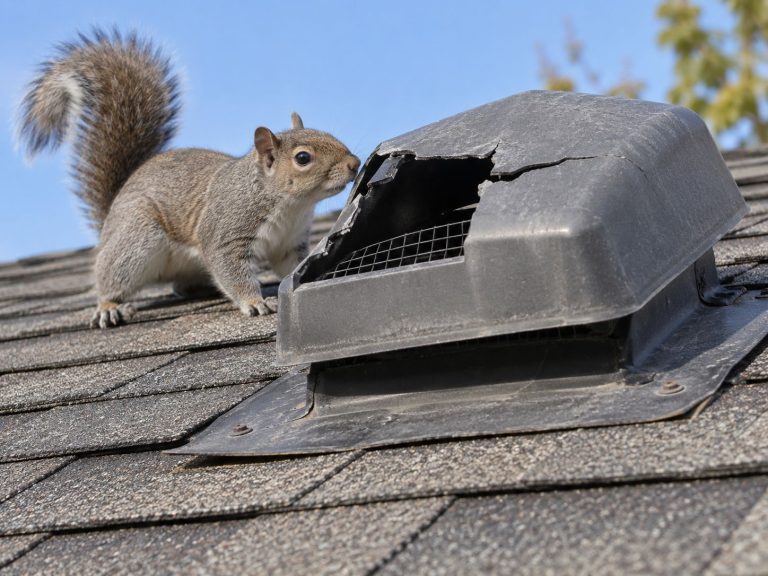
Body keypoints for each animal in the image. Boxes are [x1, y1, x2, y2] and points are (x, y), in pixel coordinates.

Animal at [18, 29, 360, 328]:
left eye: (328, 134)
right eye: (303, 158)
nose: (355, 164)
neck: (290, 206)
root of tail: (109, 220)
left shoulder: (289, 243)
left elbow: (291, 268)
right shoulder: (226, 232)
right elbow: (231, 269)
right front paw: (255, 302)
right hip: (137, 238)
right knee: (110, 275)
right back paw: (109, 306)